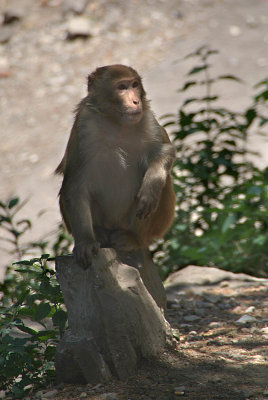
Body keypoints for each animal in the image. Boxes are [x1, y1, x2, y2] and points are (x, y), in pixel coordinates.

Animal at [55, 64, 177, 268]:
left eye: (135, 85)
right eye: (122, 87)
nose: (136, 101)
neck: (116, 122)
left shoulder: (148, 119)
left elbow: (165, 151)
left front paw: (150, 188)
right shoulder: (84, 125)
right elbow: (74, 186)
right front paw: (86, 242)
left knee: (163, 185)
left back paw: (134, 238)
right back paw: (99, 233)